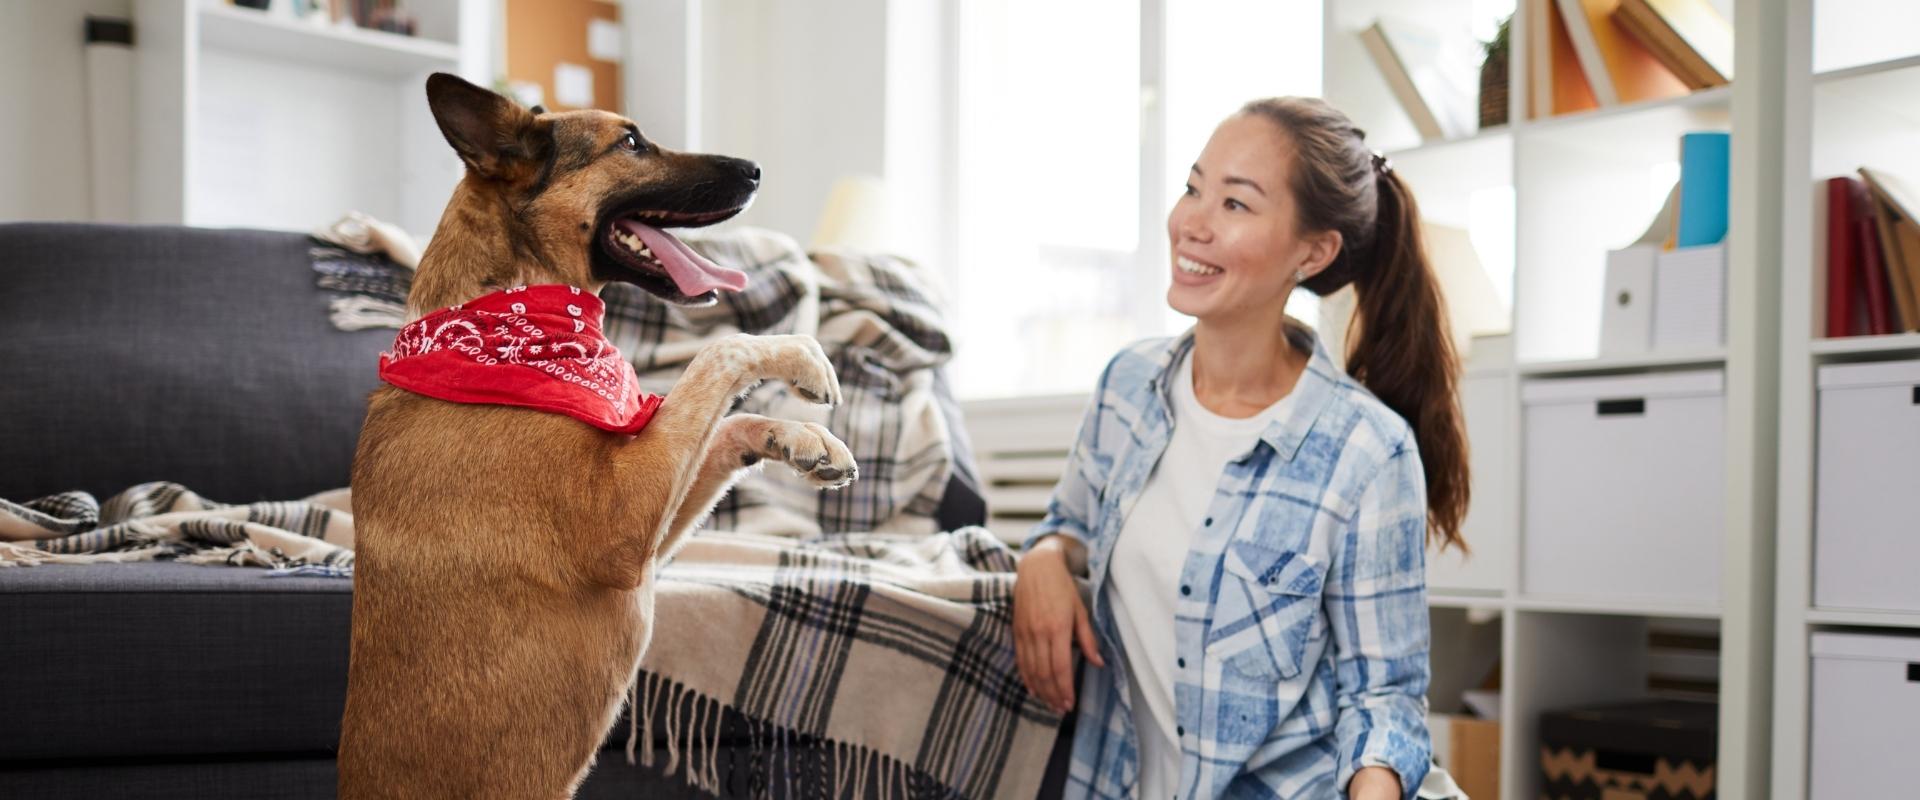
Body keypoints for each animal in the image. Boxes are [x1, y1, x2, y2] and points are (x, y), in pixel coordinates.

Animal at [339, 71, 864, 794]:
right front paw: (801, 355)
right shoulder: (619, 529)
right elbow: (721, 350)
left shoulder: (648, 536)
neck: (500, 317)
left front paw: (802, 441)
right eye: (632, 143)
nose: (756, 170)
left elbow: (725, 422)